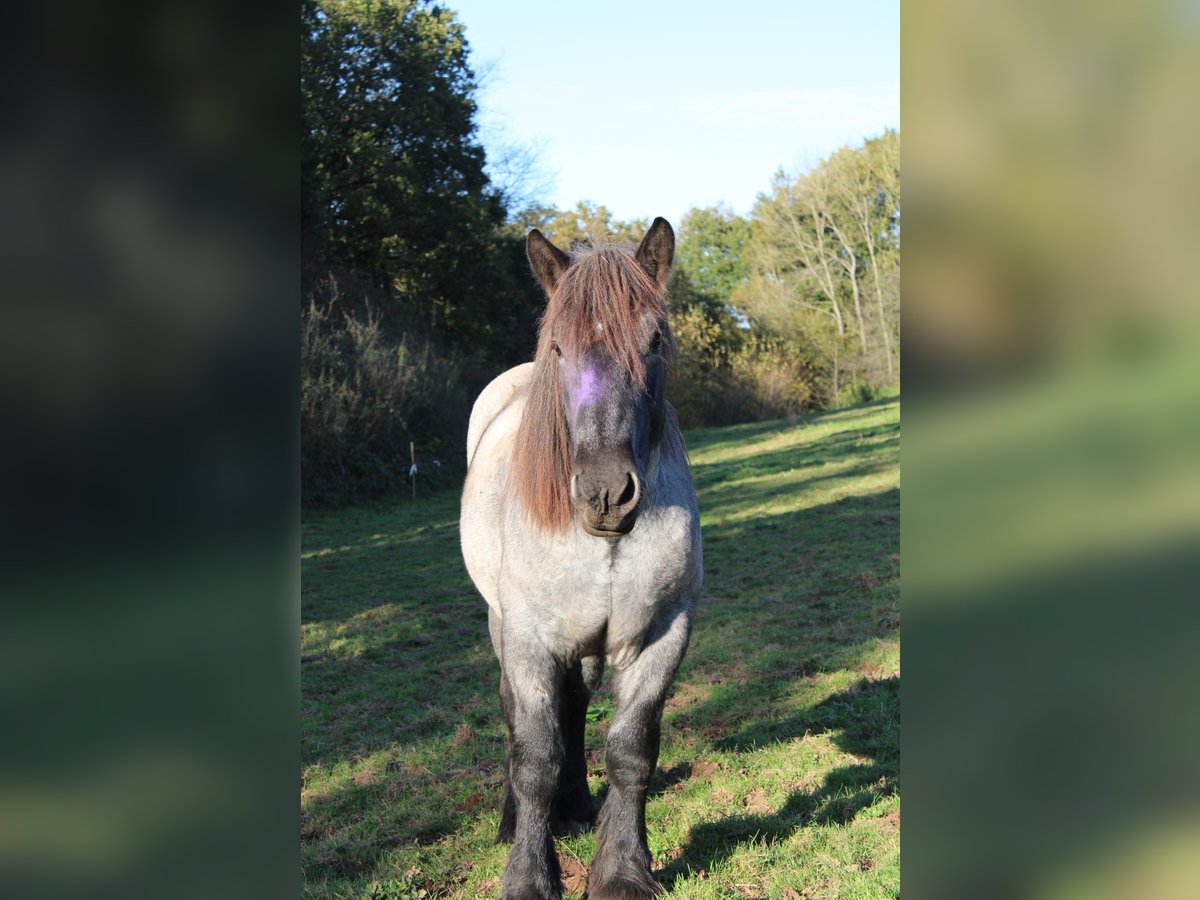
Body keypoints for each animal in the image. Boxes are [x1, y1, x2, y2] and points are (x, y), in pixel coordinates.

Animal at [458, 220, 700, 900]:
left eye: (654, 341)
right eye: (559, 348)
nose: (605, 493)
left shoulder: (663, 633)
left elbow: (631, 749)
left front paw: (623, 869)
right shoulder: (530, 640)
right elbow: (534, 755)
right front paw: (529, 876)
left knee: (576, 707)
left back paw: (576, 807)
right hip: (506, 627)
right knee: (519, 717)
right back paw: (517, 822)